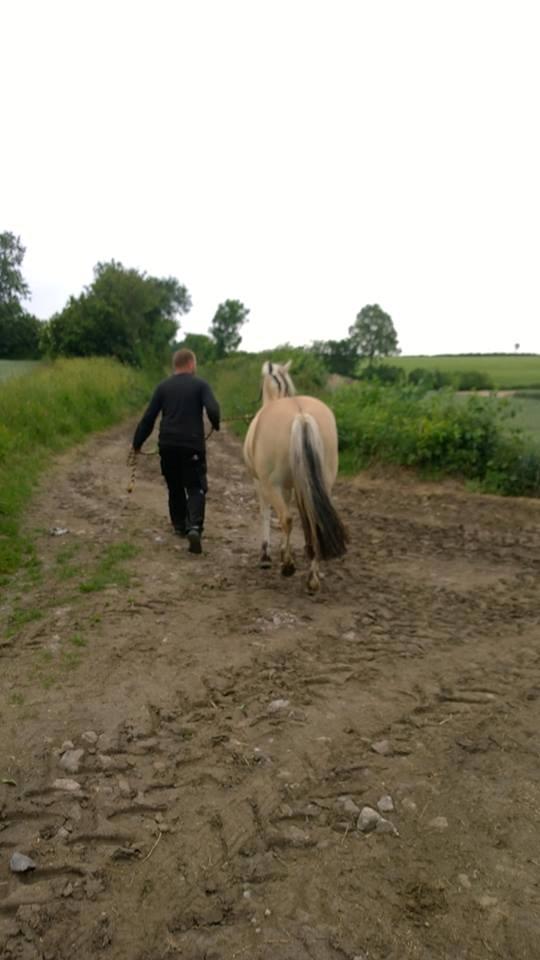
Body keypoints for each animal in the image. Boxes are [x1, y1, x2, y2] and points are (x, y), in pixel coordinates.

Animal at [243, 362, 348, 592]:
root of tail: (301, 416)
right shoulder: (290, 486)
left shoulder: (260, 483)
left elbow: (265, 514)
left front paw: (266, 556)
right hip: (323, 483)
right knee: (313, 521)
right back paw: (312, 579)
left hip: (271, 484)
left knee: (286, 518)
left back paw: (288, 567)